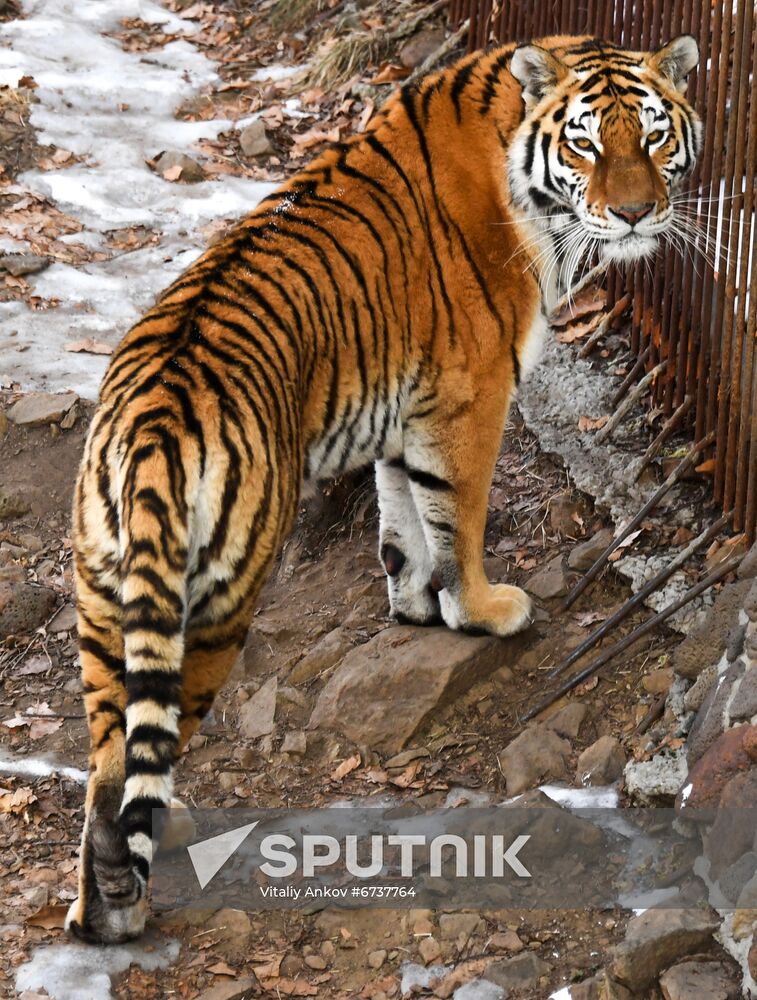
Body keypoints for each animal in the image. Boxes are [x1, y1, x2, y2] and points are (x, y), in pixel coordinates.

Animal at [66, 29, 704, 936]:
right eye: (586, 145)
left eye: (651, 137)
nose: (634, 214)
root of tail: (148, 420)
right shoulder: (471, 393)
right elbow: (459, 517)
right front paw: (483, 611)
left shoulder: (404, 411)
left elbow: (401, 517)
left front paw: (413, 603)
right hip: (212, 602)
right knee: (141, 753)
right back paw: (130, 910)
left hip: (101, 598)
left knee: (107, 766)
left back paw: (101, 909)